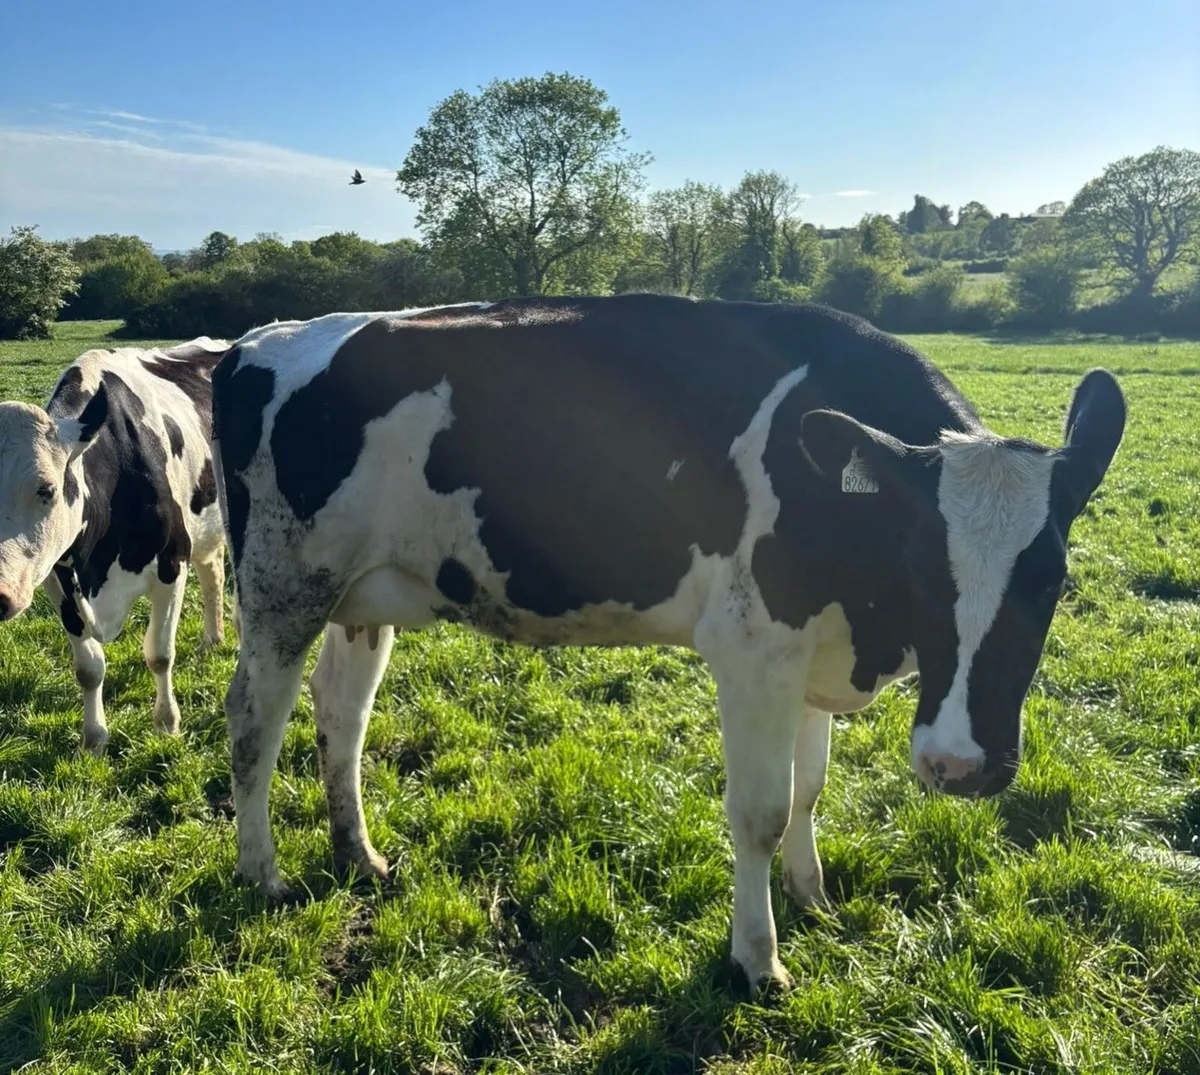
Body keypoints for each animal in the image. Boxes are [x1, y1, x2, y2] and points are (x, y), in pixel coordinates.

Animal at [0, 338, 230, 754]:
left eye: (47, 490)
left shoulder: (172, 564)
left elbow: (160, 654)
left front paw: (167, 723)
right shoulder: (59, 579)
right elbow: (89, 668)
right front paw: (94, 738)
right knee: (214, 574)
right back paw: (212, 639)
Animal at [210, 294, 1125, 994]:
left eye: (1052, 579)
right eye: (919, 564)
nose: (957, 765)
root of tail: (253, 341)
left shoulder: (810, 650)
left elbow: (809, 790)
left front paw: (813, 897)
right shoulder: (754, 646)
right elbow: (760, 810)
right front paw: (758, 959)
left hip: (361, 594)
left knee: (342, 713)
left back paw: (358, 852)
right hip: (282, 585)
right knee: (254, 718)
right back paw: (261, 869)